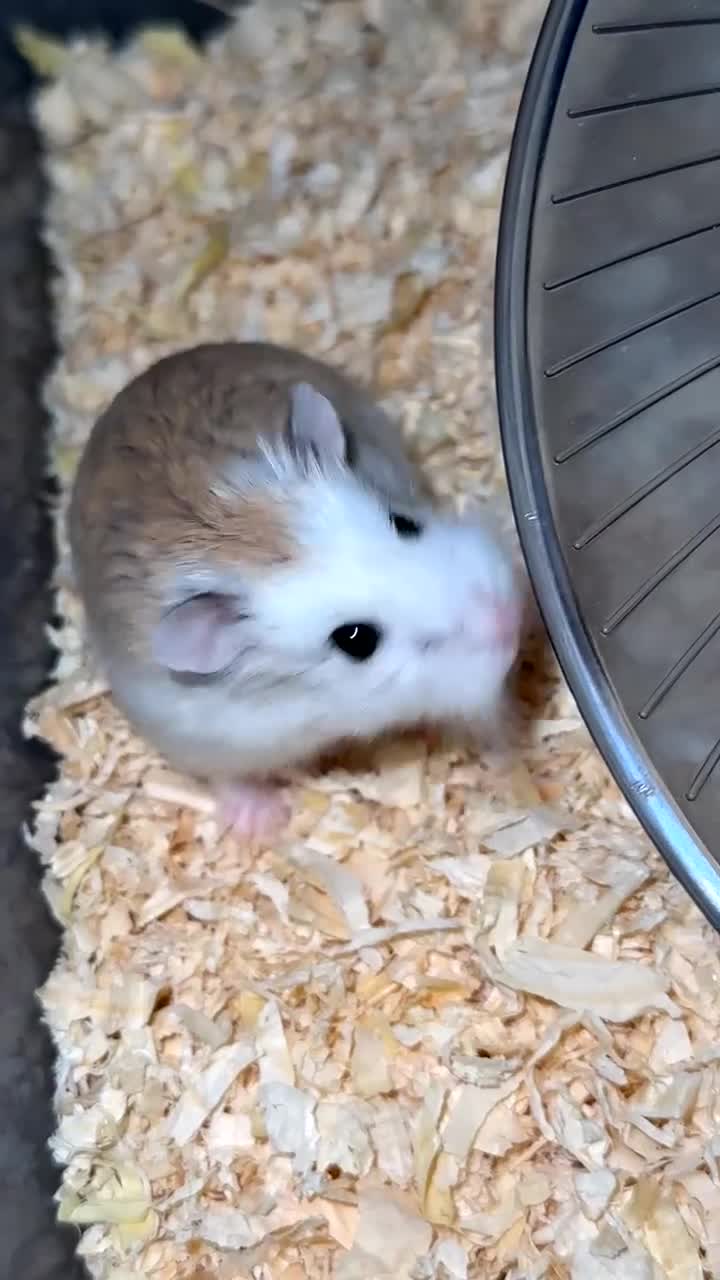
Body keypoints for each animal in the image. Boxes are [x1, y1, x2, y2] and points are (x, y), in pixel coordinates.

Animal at [69, 341, 522, 839]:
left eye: (404, 523)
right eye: (356, 640)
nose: (508, 620)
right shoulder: (204, 737)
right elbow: (227, 779)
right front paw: (267, 824)